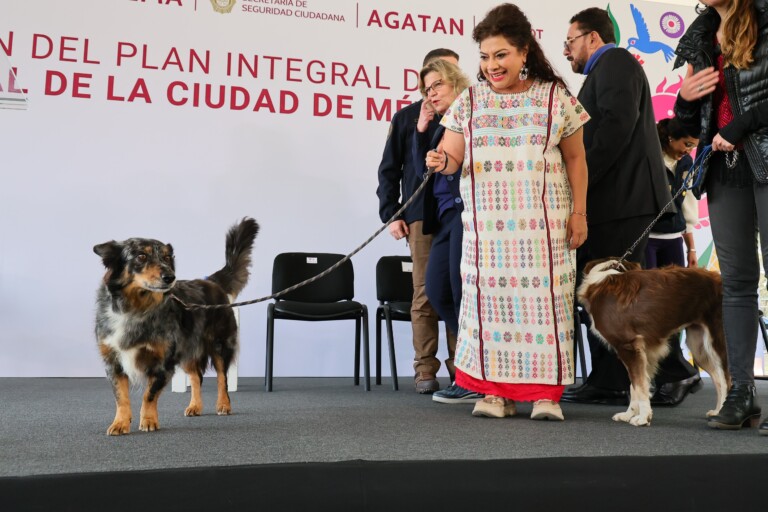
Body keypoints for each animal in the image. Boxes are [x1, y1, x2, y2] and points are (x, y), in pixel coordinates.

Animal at [576, 258, 732, 426]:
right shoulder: (641, 350)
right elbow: (635, 386)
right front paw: (629, 414)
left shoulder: (628, 345)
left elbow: (639, 385)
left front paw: (643, 418)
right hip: (699, 347)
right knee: (718, 380)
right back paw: (717, 412)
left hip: (716, 341)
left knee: (725, 380)